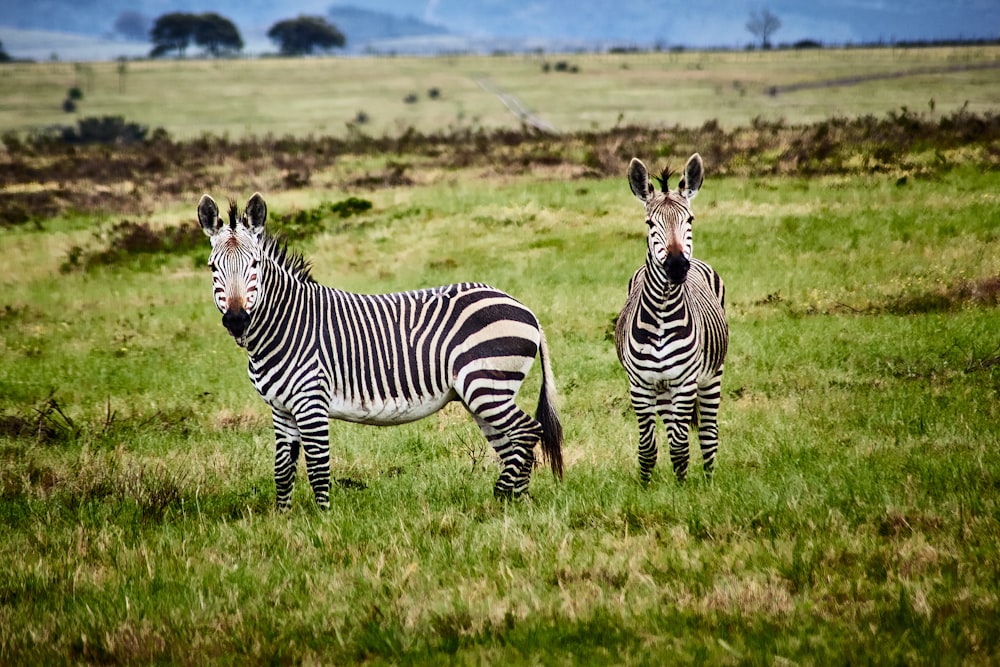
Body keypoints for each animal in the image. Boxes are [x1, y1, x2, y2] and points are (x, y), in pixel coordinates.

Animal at [195, 193, 564, 512]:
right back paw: (516, 502)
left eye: (255, 264)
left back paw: (501, 496)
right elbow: (283, 470)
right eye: (213, 268)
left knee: (527, 431)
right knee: (512, 443)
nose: (237, 320)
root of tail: (525, 309)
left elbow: (317, 467)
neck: (285, 324)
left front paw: (322, 521)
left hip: (486, 385)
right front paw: (283, 520)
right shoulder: (281, 409)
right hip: (483, 394)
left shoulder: (311, 402)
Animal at [612, 154, 732, 482]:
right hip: (663, 388)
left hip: (711, 376)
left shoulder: (685, 382)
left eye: (689, 220)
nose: (678, 266)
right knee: (670, 429)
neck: (662, 315)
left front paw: (682, 489)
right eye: (650, 223)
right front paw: (646, 486)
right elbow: (648, 445)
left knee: (708, 432)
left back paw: (709, 481)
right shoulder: (640, 384)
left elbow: (680, 443)